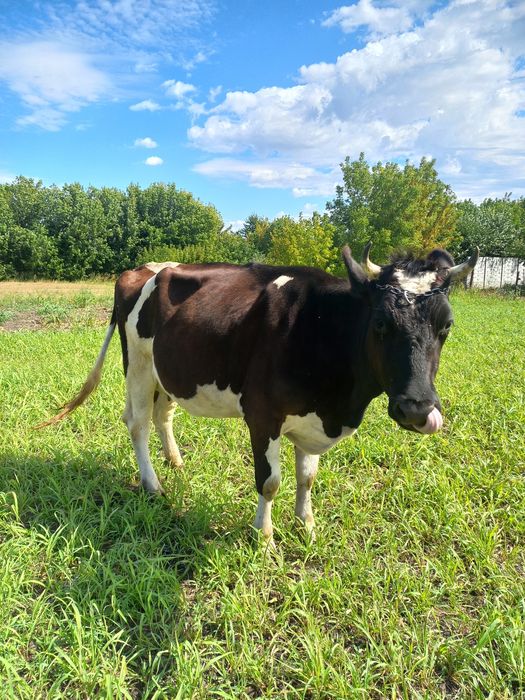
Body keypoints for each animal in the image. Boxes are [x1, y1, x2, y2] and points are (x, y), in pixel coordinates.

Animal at [40, 245, 478, 543]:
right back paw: (153, 484)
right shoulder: (262, 414)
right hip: (139, 364)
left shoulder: (311, 419)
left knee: (163, 416)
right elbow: (270, 481)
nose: (417, 408)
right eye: (381, 323)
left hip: (169, 370)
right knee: (137, 423)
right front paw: (264, 537)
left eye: (447, 326)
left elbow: (307, 478)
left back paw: (176, 462)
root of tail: (141, 268)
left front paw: (307, 526)